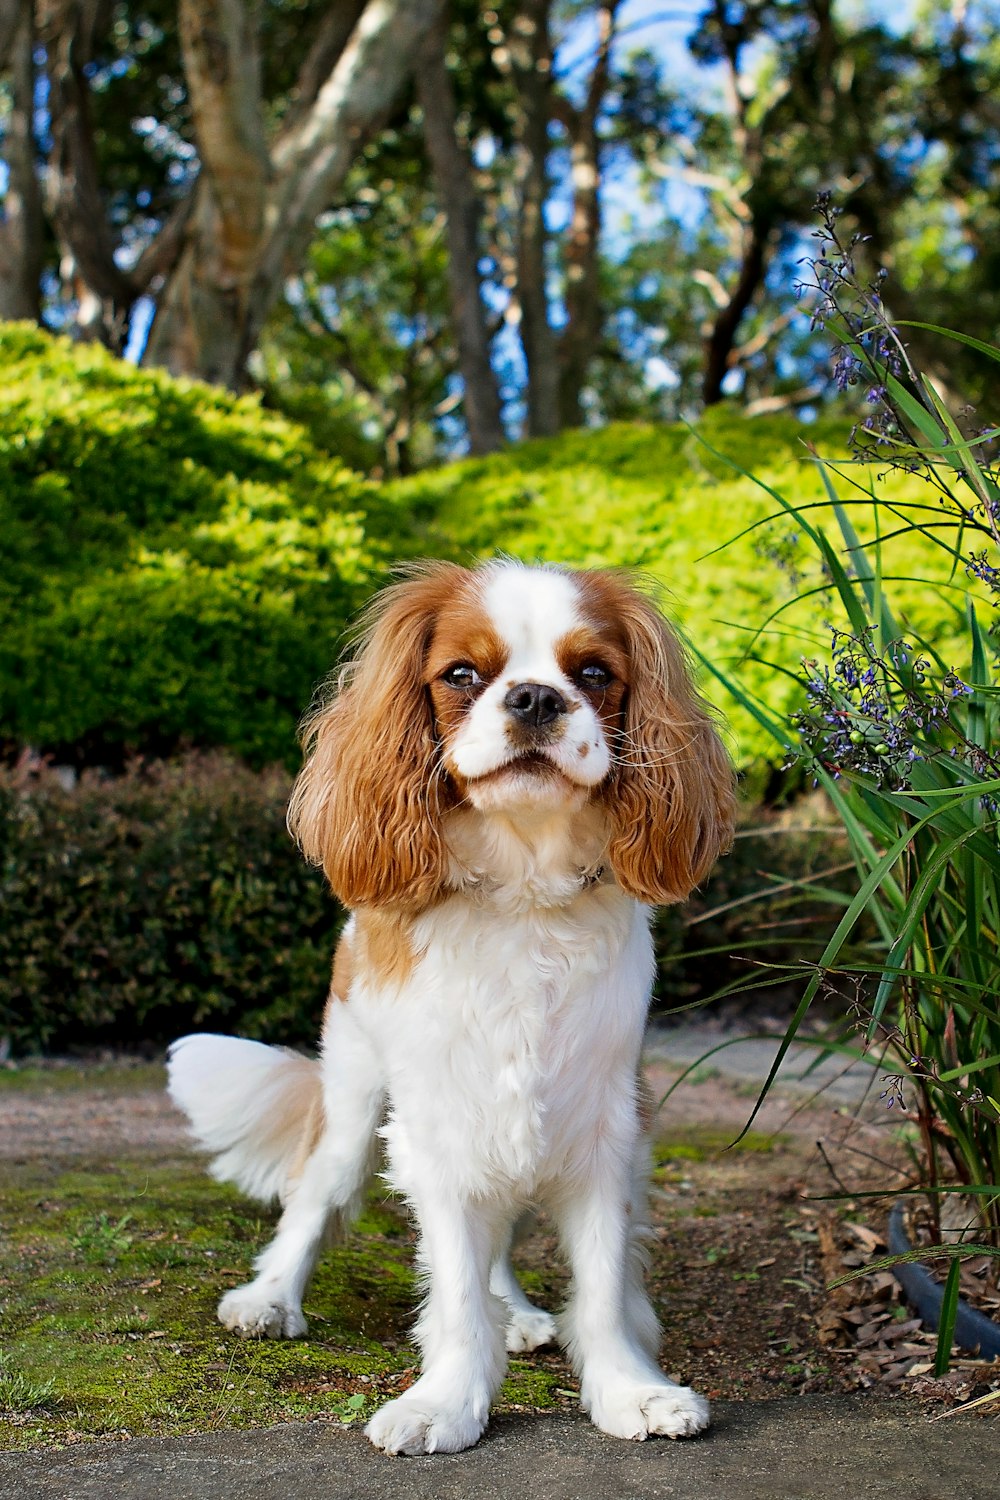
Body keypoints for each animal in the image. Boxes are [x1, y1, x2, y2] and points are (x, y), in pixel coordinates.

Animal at [167, 561, 734, 1452]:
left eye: (594, 673)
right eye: (463, 675)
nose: (534, 697)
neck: (523, 894)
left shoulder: (603, 1127)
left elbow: (603, 1280)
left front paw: (629, 1391)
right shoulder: (433, 1125)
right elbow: (454, 1285)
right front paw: (449, 1401)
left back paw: (520, 1313)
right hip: (355, 1098)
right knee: (314, 1198)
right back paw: (269, 1299)